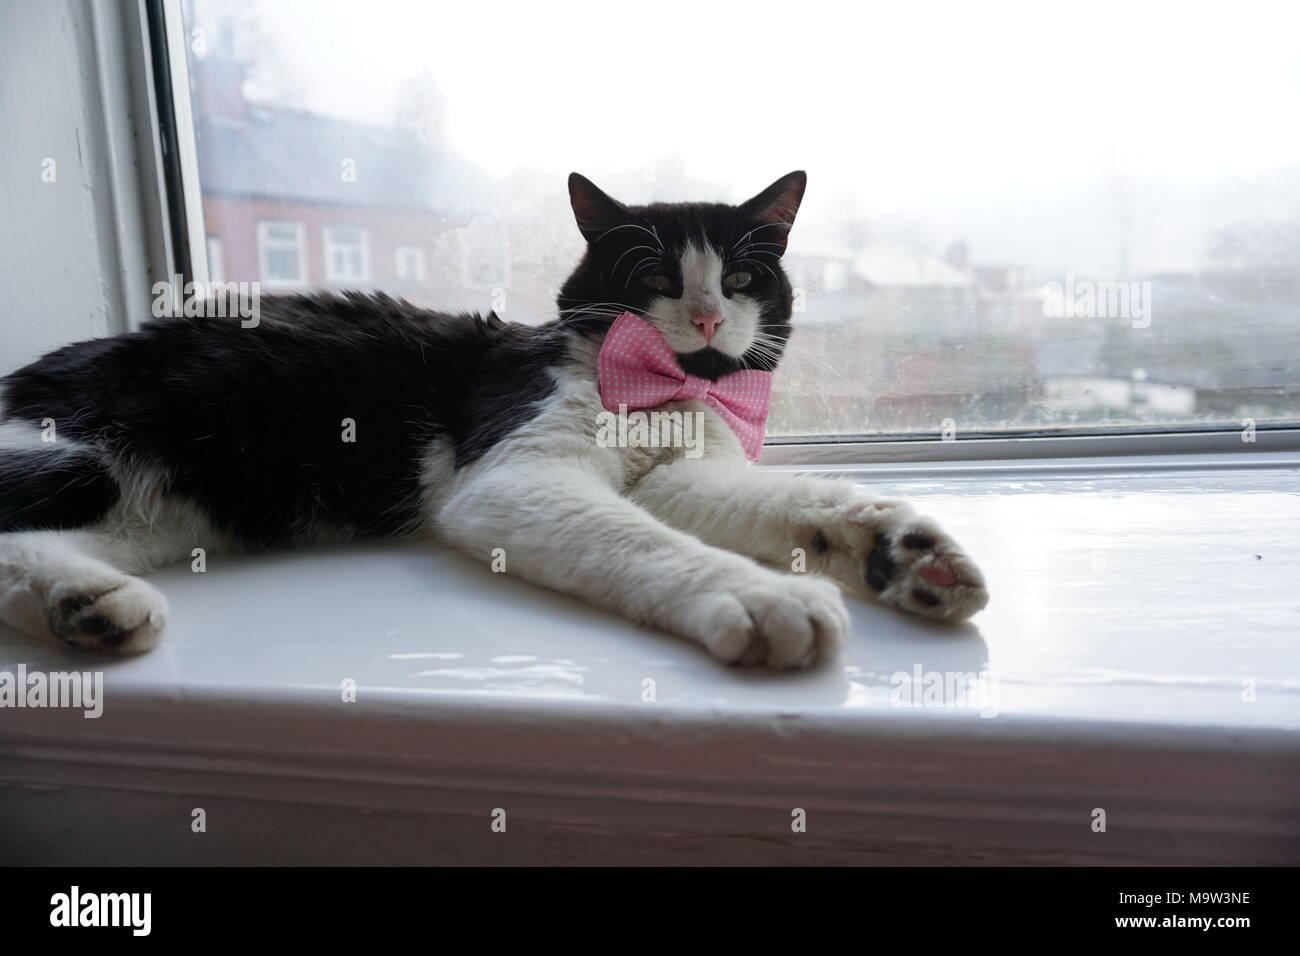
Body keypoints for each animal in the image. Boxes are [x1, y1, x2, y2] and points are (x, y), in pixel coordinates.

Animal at [0, 171, 982, 665]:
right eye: (656, 277)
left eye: (741, 278)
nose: (707, 319)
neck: (661, 390)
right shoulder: (516, 467)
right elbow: (642, 538)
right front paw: (762, 594)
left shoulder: (681, 474)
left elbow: (776, 502)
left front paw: (901, 550)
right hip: (82, 454)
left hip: (165, 511)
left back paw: (87, 606)